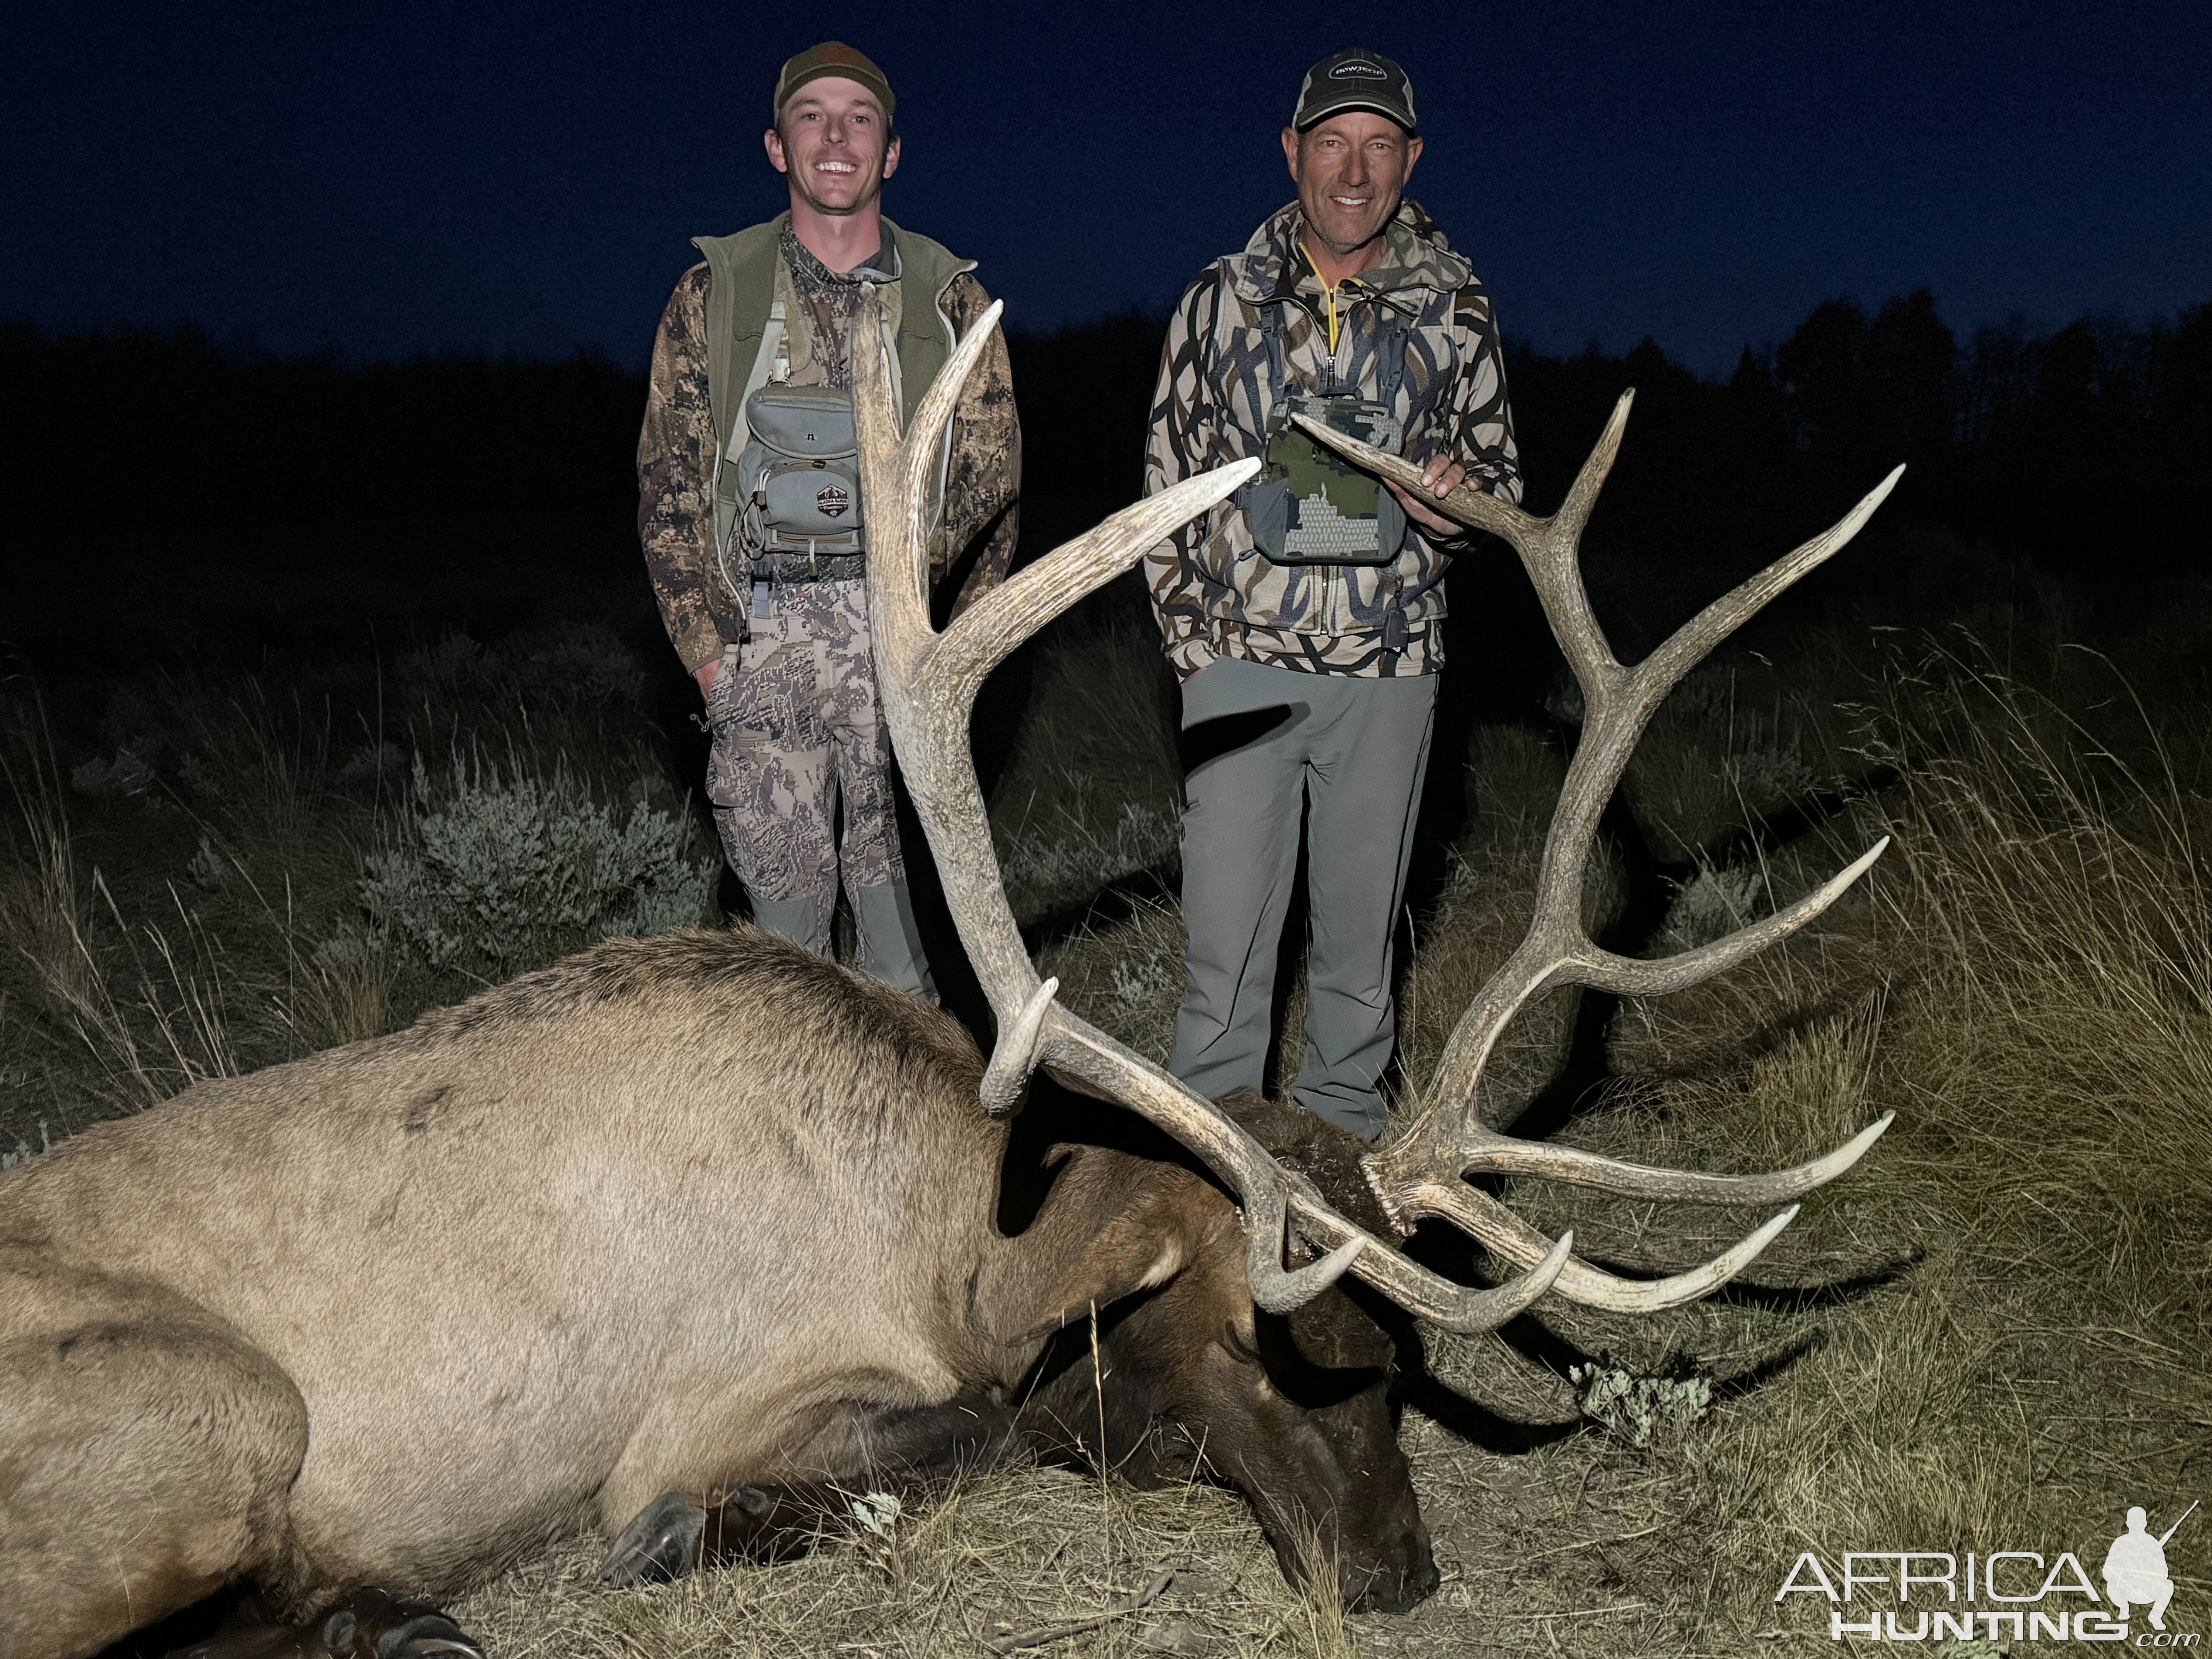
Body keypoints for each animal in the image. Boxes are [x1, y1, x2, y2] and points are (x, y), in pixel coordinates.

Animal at [0, 303, 1902, 1659]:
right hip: (217, 1407)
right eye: (1262, 1341)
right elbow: (984, 1428)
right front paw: (691, 1535)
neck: (949, 1229)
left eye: (1392, 1344)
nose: (1399, 1574)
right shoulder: (718, 1402)